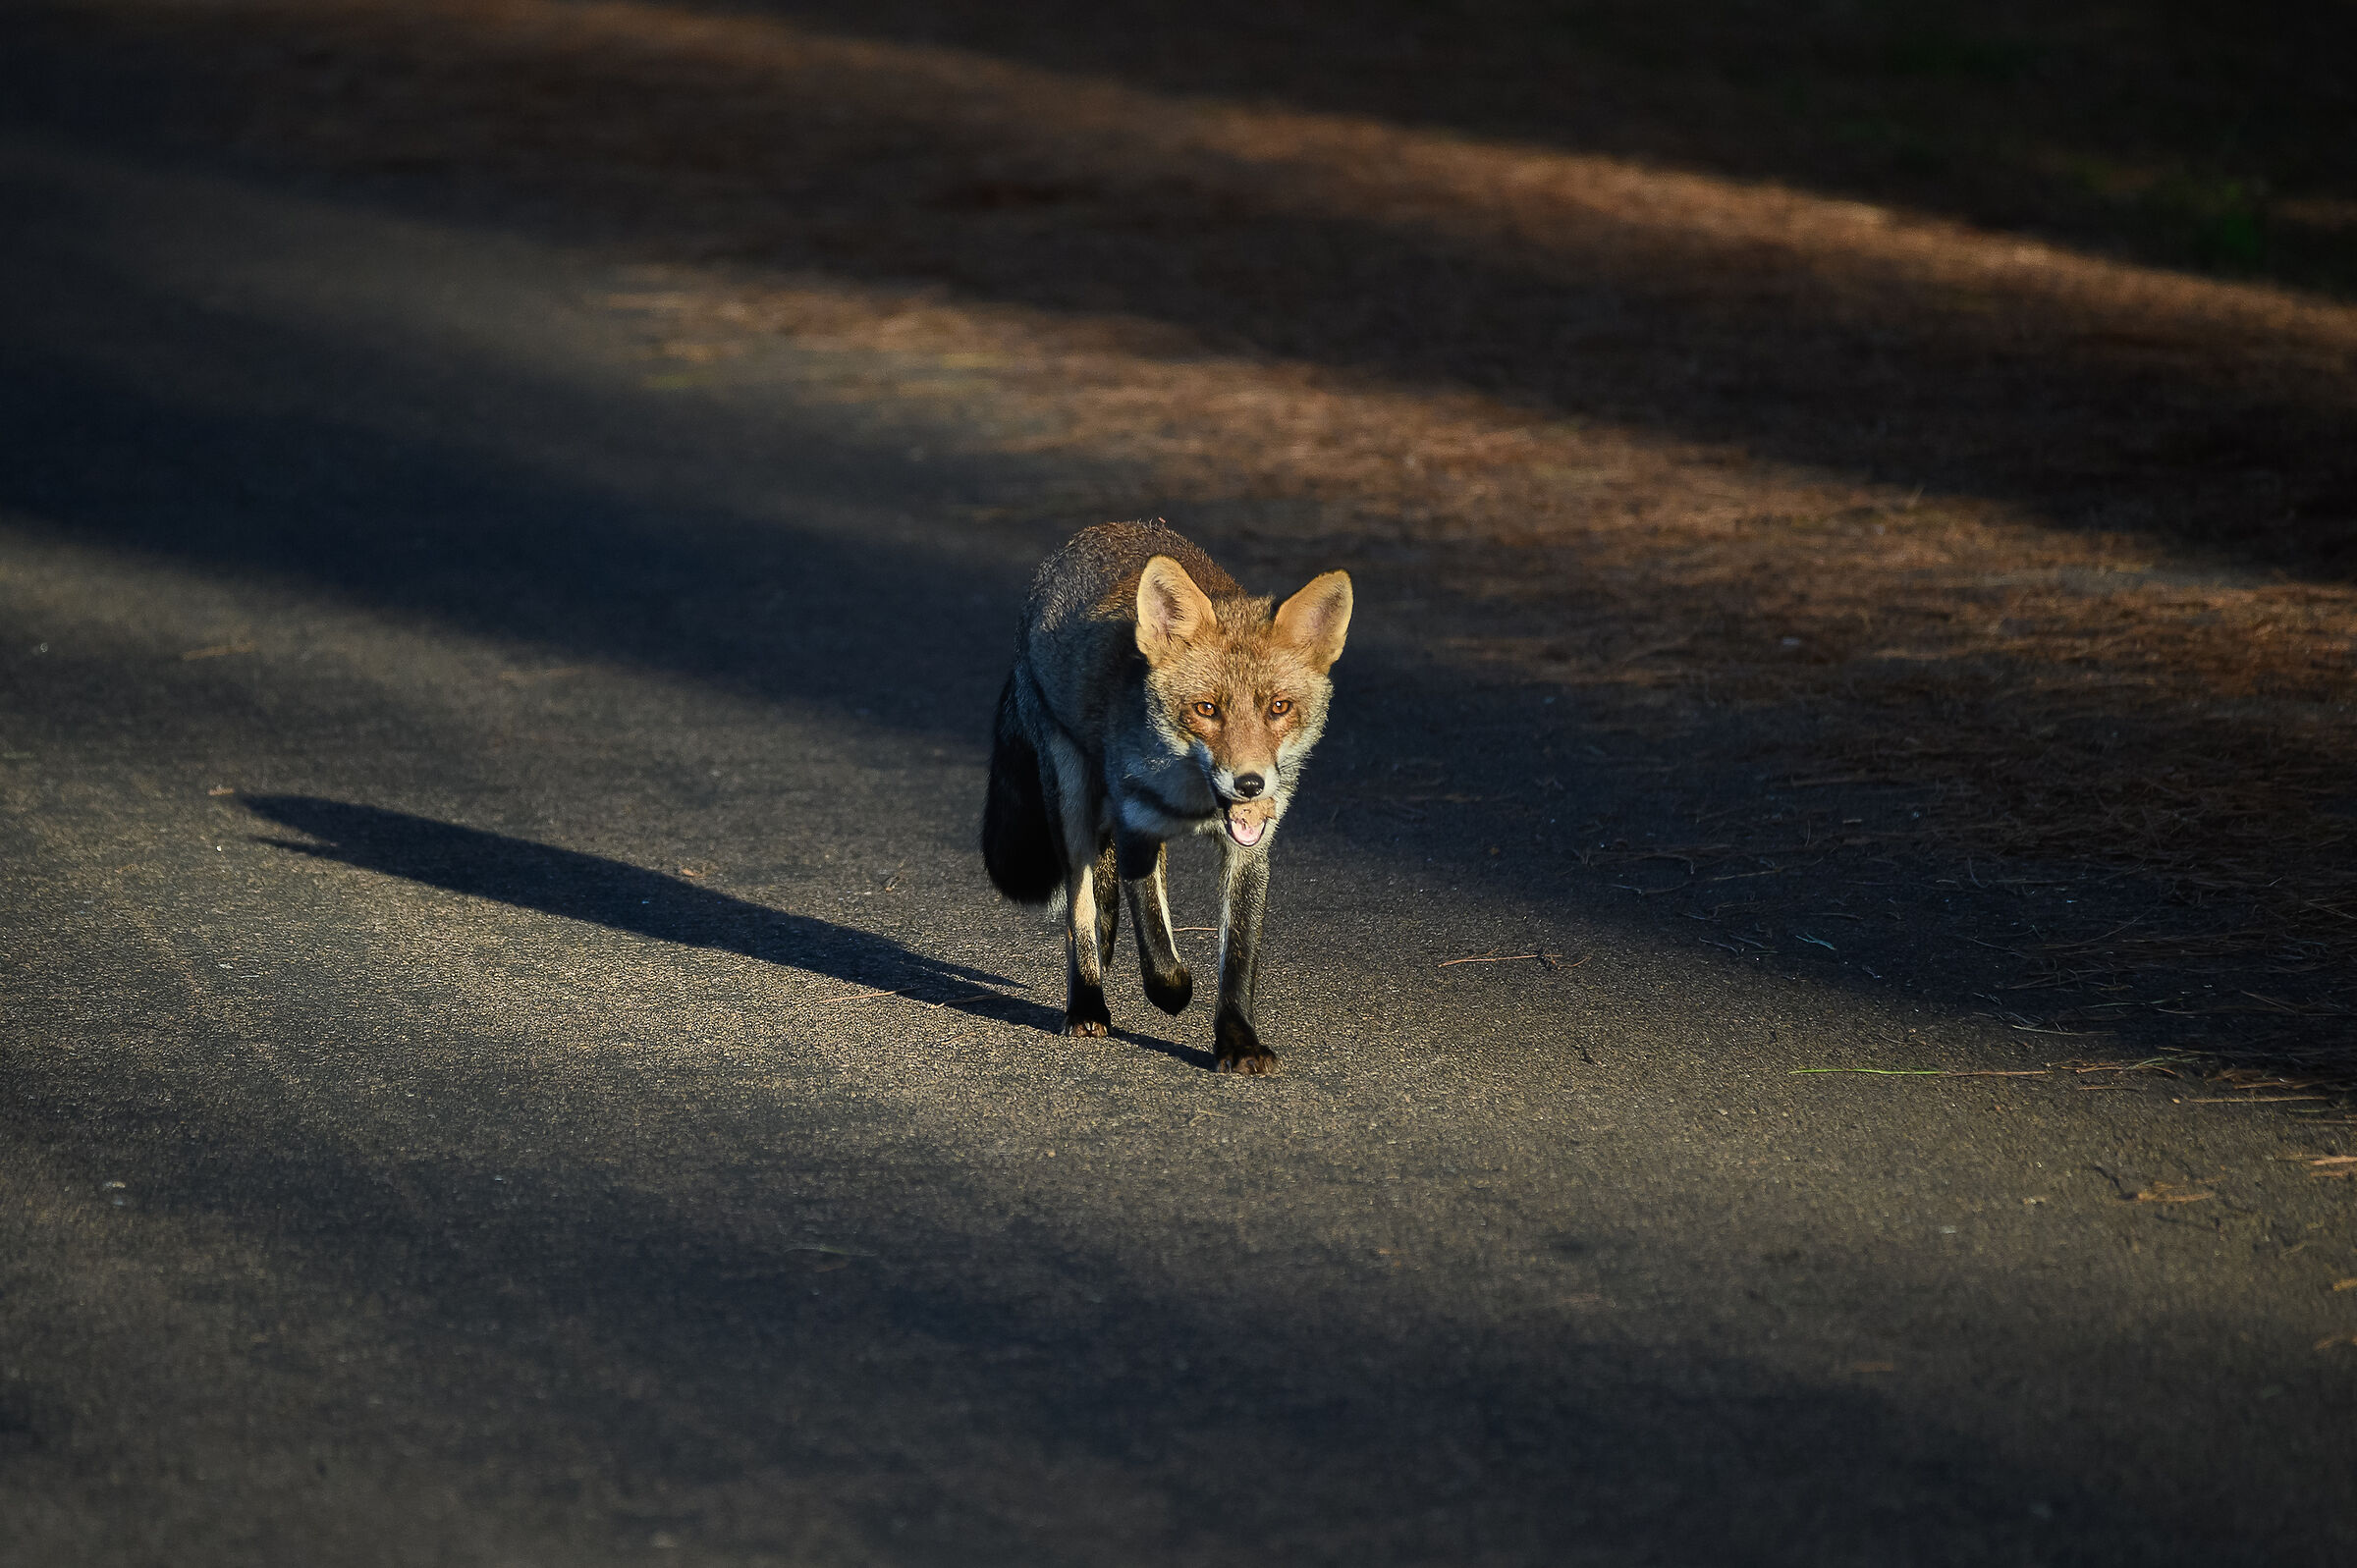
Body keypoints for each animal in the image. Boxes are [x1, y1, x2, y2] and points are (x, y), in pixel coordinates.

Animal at [981, 521, 1354, 1074]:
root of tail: (1091, 534)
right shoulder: (1138, 824)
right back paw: (1087, 1004)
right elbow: (1156, 946)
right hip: (1070, 798)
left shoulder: (1249, 849)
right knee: (1080, 918)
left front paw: (1237, 1041)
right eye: (1206, 709)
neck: (1196, 804)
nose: (1250, 784)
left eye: (1279, 708)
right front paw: (1173, 994)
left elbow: (1238, 958)